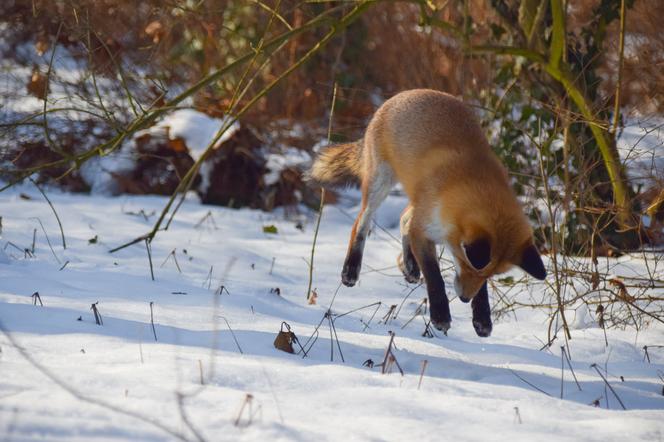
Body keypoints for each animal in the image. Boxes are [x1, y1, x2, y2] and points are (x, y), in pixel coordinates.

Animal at [308, 90, 548, 338]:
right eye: (465, 265)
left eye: (489, 277)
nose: (464, 298)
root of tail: (404, 94)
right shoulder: (423, 231)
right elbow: (434, 276)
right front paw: (440, 316)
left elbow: (478, 290)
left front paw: (482, 317)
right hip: (380, 184)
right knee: (361, 223)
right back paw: (351, 269)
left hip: (415, 198)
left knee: (403, 219)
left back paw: (410, 266)